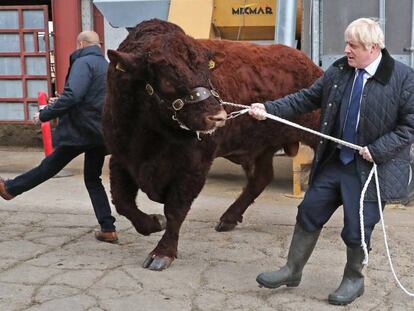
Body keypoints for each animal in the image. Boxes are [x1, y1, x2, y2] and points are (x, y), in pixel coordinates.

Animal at [103, 20, 324, 270]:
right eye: (167, 79)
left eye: (207, 71)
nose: (218, 116)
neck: (150, 136)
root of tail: (308, 63)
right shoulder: (121, 158)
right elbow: (122, 202)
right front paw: (153, 223)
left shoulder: (195, 166)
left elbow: (175, 209)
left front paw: (162, 253)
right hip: (261, 147)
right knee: (261, 178)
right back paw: (228, 218)